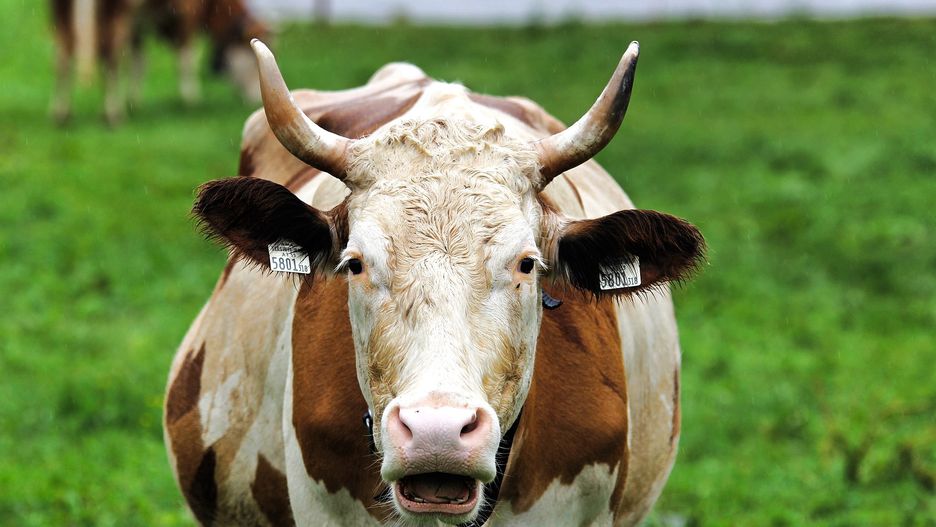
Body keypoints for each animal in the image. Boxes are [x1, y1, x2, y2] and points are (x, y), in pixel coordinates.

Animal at [50, 0, 268, 125]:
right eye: (253, 59)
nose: (255, 100)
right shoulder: (188, 13)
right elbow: (186, 59)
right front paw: (191, 99)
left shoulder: (138, 24)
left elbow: (139, 62)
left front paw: (134, 101)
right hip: (116, 13)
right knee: (111, 57)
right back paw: (112, 114)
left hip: (62, 12)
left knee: (62, 56)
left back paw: (62, 113)